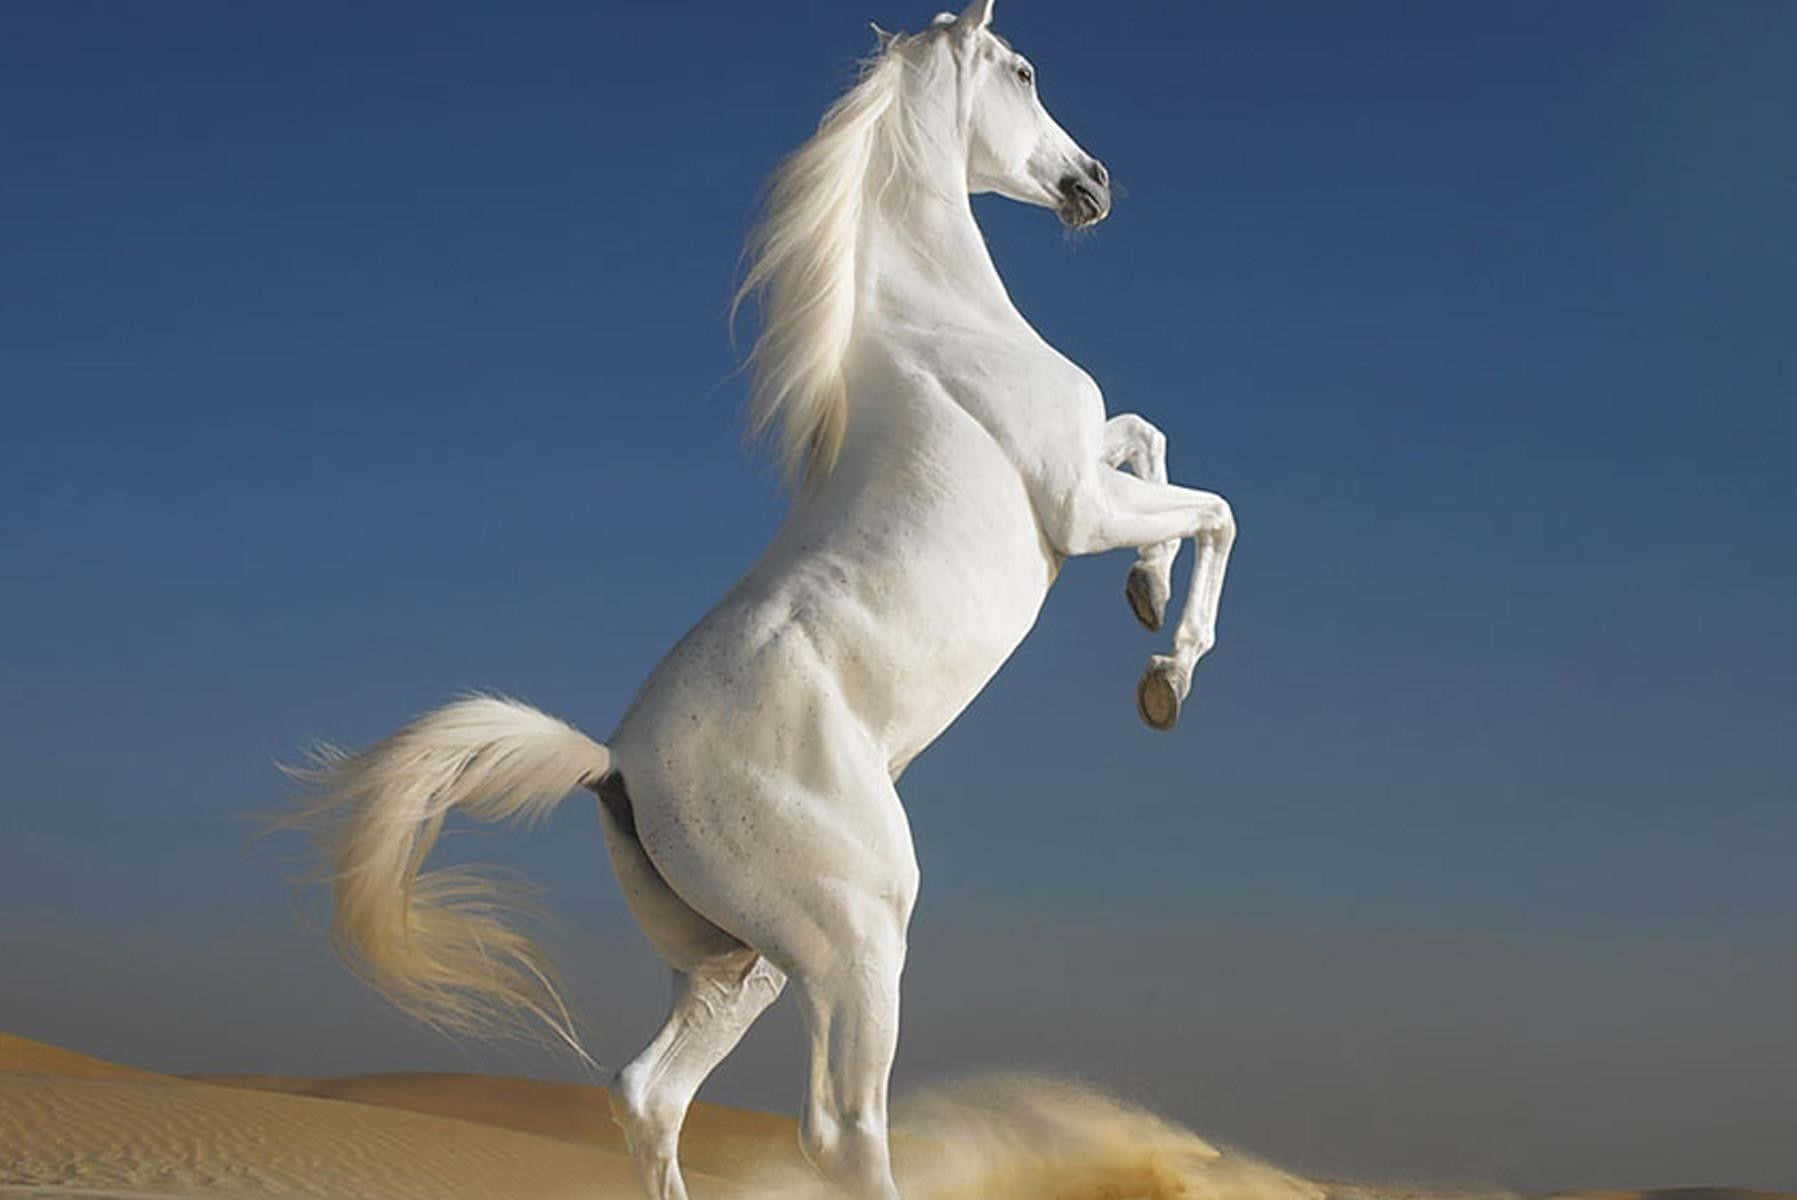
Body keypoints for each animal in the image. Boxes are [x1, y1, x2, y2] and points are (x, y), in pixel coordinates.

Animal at [289, 3, 1235, 1197]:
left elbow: (1148, 439)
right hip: (858, 936)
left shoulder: (1091, 476)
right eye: (1022, 70)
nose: (1092, 182)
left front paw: (1144, 600)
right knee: (838, 1127)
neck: (941, 328)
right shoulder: (1075, 505)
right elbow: (1212, 508)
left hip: (747, 964)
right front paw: (1168, 672)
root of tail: (615, 766)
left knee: (651, 1095)